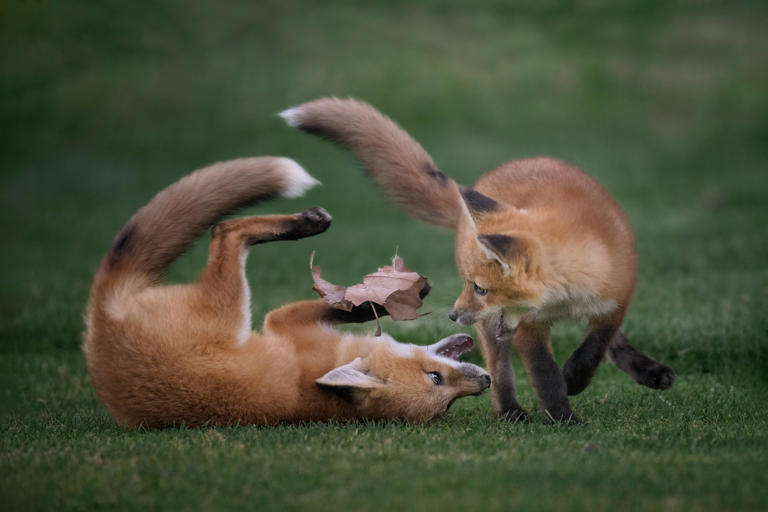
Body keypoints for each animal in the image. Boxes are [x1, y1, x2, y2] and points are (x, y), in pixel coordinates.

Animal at [83, 156, 490, 428]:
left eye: (448, 405)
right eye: (435, 378)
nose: (485, 382)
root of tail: (103, 313)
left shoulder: (282, 322)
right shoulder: (285, 322)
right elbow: (345, 308)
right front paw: (383, 299)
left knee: (223, 231)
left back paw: (304, 223)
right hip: (231, 303)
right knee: (224, 230)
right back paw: (306, 224)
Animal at [280, 97, 676, 423]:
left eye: (482, 288)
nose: (453, 316)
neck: (566, 296)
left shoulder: (617, 295)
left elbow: (597, 344)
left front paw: (576, 378)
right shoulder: (528, 326)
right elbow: (544, 373)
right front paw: (563, 416)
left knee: (613, 343)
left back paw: (648, 370)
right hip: (491, 329)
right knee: (499, 370)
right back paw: (510, 411)